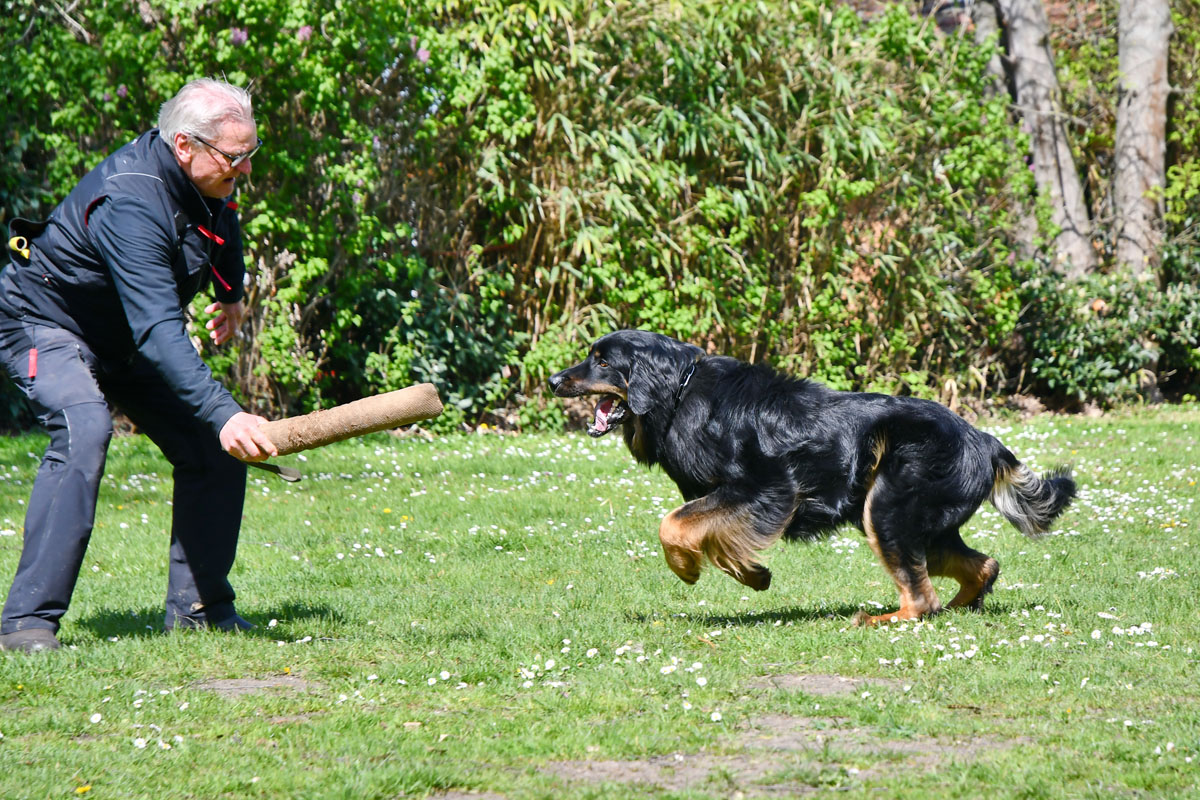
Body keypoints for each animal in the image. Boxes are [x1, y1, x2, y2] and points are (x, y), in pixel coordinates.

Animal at [549, 331, 1075, 623]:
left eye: (601, 360)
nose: (553, 380)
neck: (679, 391)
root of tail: (983, 439)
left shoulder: (766, 488)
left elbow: (673, 524)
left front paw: (687, 568)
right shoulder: (736, 499)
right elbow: (714, 539)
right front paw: (753, 574)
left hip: (887, 509)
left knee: (921, 598)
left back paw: (881, 620)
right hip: (922, 523)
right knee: (982, 566)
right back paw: (962, 608)